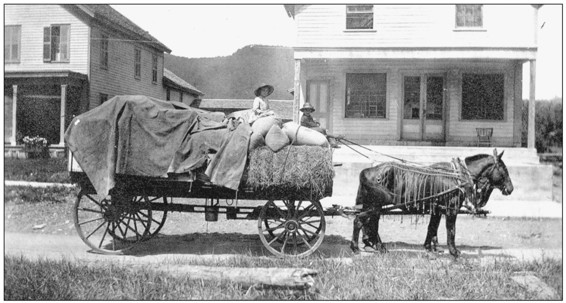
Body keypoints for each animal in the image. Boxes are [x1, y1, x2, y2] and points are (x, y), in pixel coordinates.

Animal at [350, 148, 516, 258]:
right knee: (359, 220)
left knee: (371, 223)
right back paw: (356, 247)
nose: (510, 188)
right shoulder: (451, 209)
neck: (458, 176)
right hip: (374, 206)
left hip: (372, 205)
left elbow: (432, 228)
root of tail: (368, 170)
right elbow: (451, 230)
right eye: (504, 168)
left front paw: (429, 248)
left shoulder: (437, 209)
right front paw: (454, 251)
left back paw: (377, 246)